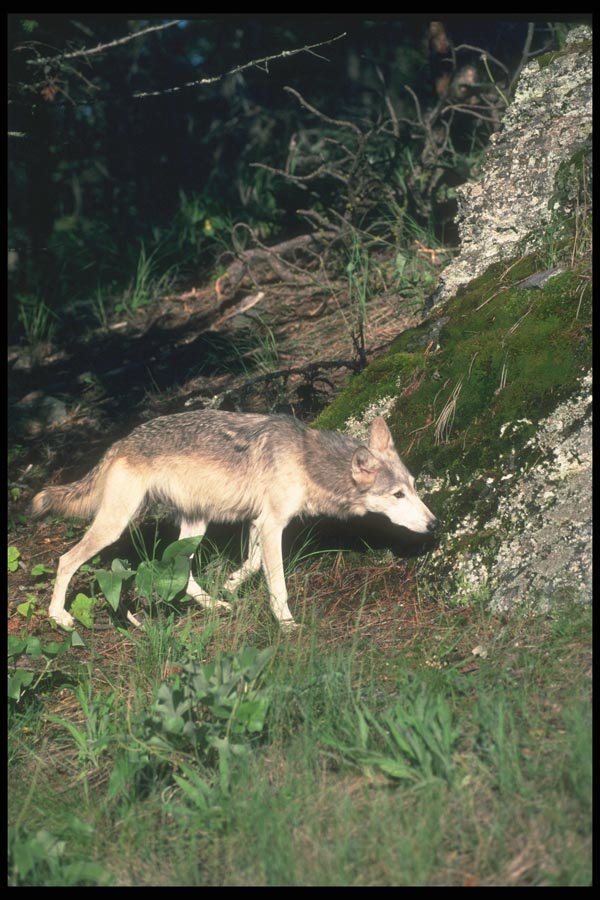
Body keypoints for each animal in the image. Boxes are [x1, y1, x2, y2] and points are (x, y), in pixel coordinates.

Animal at [31, 411, 438, 630]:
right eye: (397, 495)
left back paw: (215, 605)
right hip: (115, 525)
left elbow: (253, 565)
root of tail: (119, 444)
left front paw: (231, 583)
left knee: (182, 574)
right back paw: (59, 616)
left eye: (414, 488)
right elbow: (278, 585)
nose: (435, 524)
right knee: (65, 560)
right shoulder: (272, 524)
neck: (306, 460)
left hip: (195, 526)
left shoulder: (260, 522)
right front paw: (286, 624)